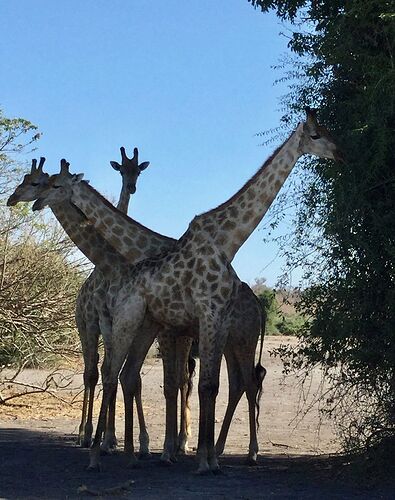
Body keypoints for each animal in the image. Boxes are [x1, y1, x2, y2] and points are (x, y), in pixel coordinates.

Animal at [33, 106, 344, 472]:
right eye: (315, 134)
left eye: (326, 130)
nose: (341, 153)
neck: (227, 242)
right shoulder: (192, 324)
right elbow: (182, 385)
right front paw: (190, 456)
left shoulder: (212, 321)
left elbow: (206, 385)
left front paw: (201, 456)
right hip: (127, 325)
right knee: (112, 374)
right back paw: (99, 453)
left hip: (199, 335)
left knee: (230, 380)